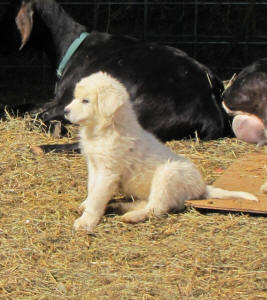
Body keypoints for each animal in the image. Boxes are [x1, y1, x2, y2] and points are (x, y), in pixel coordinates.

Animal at [64, 72, 258, 232]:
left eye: (85, 101)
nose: (65, 111)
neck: (103, 129)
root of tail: (201, 187)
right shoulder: (94, 165)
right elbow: (92, 189)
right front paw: (85, 205)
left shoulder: (108, 172)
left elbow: (97, 196)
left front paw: (86, 221)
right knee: (150, 203)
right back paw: (120, 206)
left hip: (167, 175)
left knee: (157, 207)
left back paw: (132, 216)